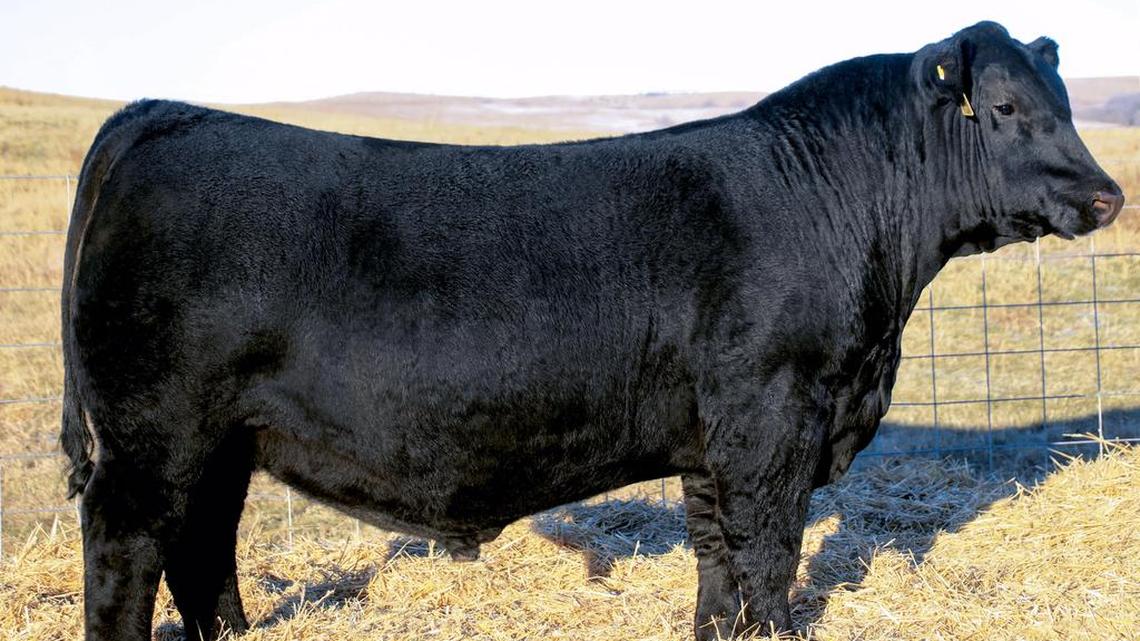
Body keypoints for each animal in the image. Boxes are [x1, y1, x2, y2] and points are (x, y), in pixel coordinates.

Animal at [60, 21, 1123, 641]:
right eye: (1006, 107)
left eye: (1066, 102)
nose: (1108, 194)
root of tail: (161, 113)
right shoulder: (774, 417)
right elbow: (770, 551)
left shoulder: (710, 434)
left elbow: (716, 553)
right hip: (152, 436)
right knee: (125, 555)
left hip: (223, 440)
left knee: (203, 549)